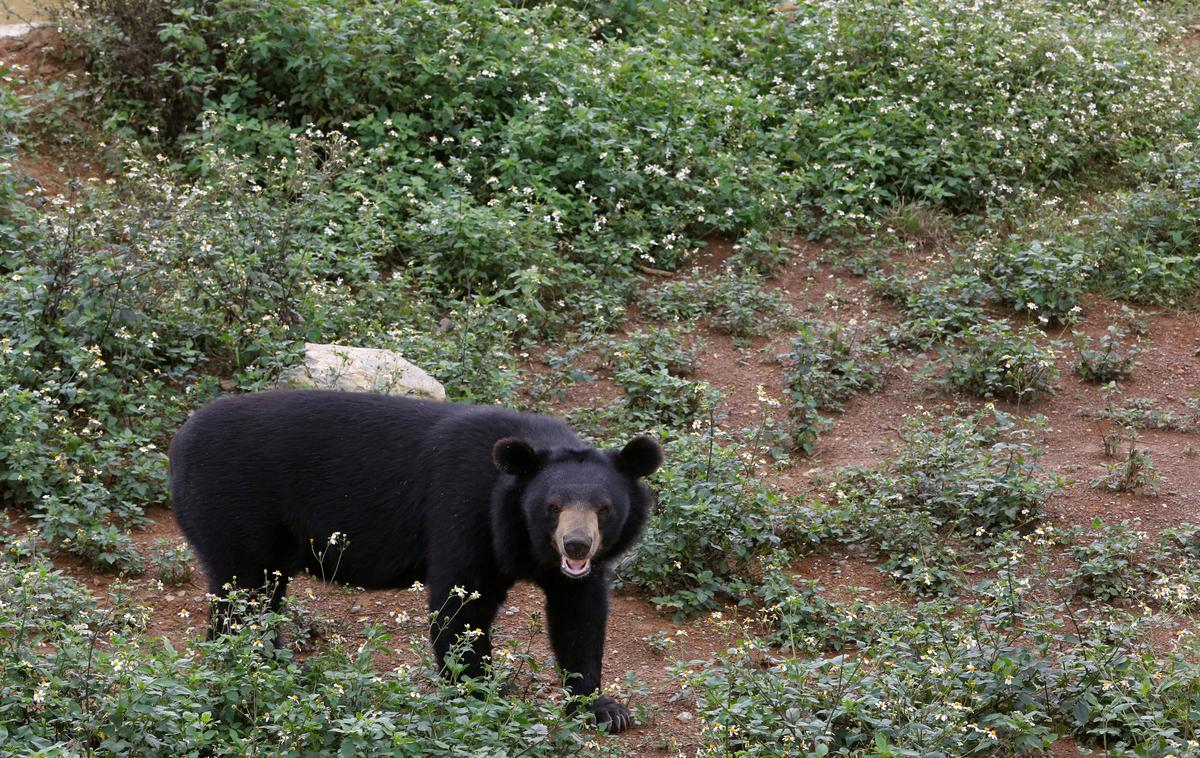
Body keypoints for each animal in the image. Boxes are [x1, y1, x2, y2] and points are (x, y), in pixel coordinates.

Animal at [169, 388, 662, 729]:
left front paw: (605, 709)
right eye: (552, 506)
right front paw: (479, 697)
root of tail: (178, 442)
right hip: (233, 507)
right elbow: (460, 604)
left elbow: (578, 616)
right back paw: (240, 669)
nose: (576, 545)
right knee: (241, 596)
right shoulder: (463, 510)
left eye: (604, 508)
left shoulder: (567, 570)